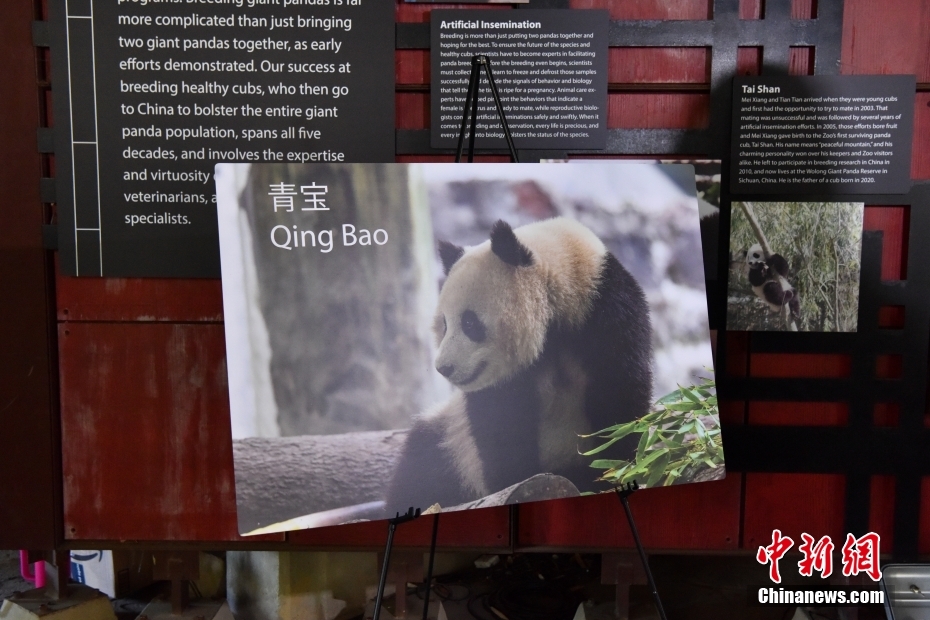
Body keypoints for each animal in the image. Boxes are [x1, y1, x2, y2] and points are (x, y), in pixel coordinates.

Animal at [384, 218, 652, 512]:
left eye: (469, 323)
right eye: (444, 325)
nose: (444, 367)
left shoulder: (607, 315)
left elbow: (619, 400)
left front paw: (614, 470)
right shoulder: (501, 386)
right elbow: (501, 435)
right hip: (449, 441)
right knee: (421, 468)